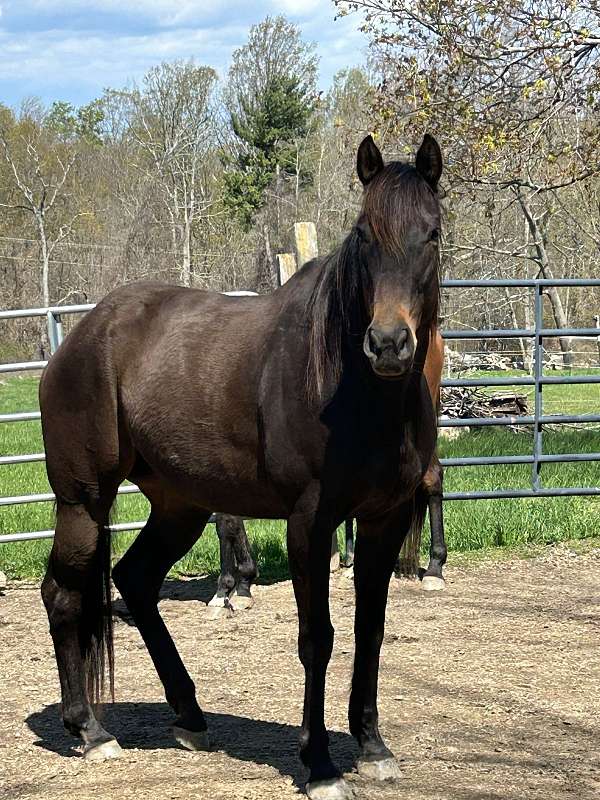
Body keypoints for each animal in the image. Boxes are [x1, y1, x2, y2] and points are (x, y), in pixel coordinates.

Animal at [39, 132, 443, 800]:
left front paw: (372, 745)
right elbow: (317, 638)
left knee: (134, 580)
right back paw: (91, 731)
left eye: (432, 234)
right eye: (363, 234)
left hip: (179, 505)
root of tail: (81, 335)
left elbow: (371, 630)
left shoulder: (383, 521)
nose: (388, 344)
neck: (349, 386)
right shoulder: (310, 523)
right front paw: (319, 765)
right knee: (64, 594)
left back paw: (190, 717)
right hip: (83, 502)